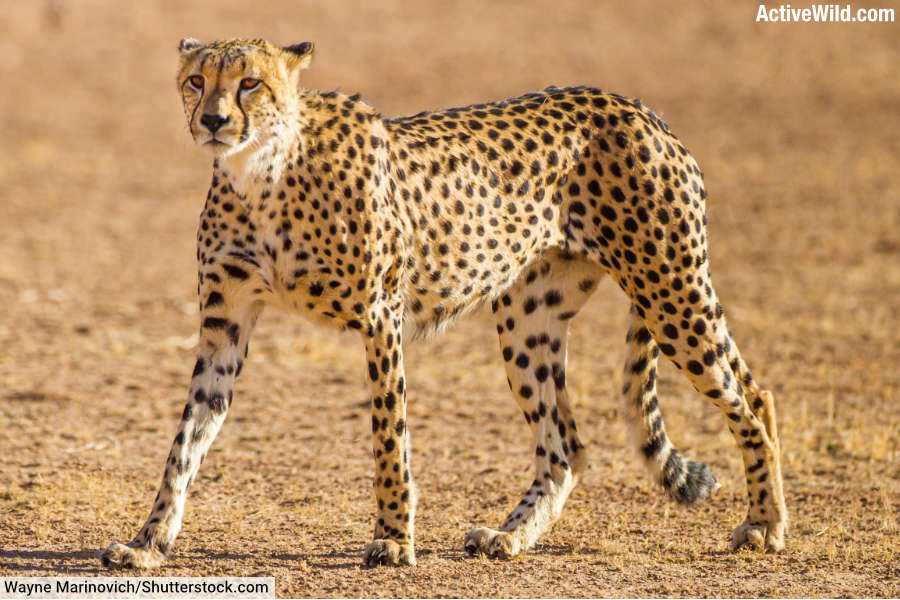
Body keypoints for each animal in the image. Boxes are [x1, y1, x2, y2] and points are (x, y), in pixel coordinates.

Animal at [100, 37, 787, 569]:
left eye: (250, 84)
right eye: (197, 80)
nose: (213, 121)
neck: (262, 173)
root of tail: (637, 108)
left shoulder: (381, 317)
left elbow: (389, 433)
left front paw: (392, 540)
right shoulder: (224, 327)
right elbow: (186, 441)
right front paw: (148, 541)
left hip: (669, 289)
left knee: (752, 398)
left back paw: (766, 524)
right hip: (529, 320)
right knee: (568, 446)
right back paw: (510, 536)